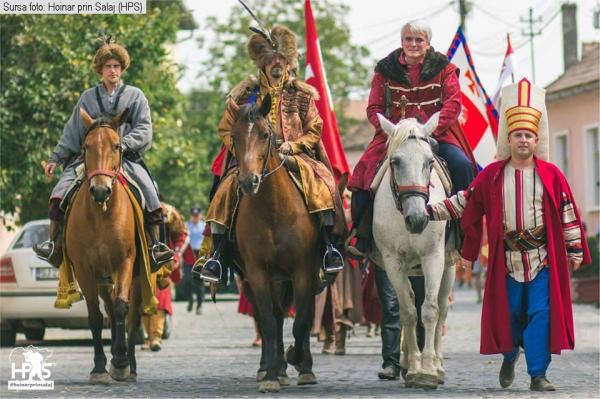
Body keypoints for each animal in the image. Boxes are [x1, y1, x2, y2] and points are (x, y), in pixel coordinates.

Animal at [65, 108, 142, 386]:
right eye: (86, 146)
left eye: (117, 145)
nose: (100, 190)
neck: (101, 214)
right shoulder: (84, 270)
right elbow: (95, 317)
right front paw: (99, 367)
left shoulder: (126, 263)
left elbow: (121, 309)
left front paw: (120, 363)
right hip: (103, 279)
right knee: (108, 309)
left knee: (131, 316)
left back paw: (129, 364)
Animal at [231, 95, 324, 392]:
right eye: (234, 136)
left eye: (264, 134)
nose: (248, 181)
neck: (273, 211)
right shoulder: (258, 274)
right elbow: (270, 323)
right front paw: (271, 375)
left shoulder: (303, 271)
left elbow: (302, 320)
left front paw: (302, 365)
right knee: (274, 315)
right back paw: (274, 368)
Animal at [372, 113, 462, 390]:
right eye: (395, 161)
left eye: (429, 161)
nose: (418, 220)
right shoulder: (393, 262)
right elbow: (408, 312)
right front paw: (413, 367)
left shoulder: (433, 257)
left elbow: (430, 310)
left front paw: (428, 371)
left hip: (448, 267)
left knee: (442, 308)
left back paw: (438, 365)